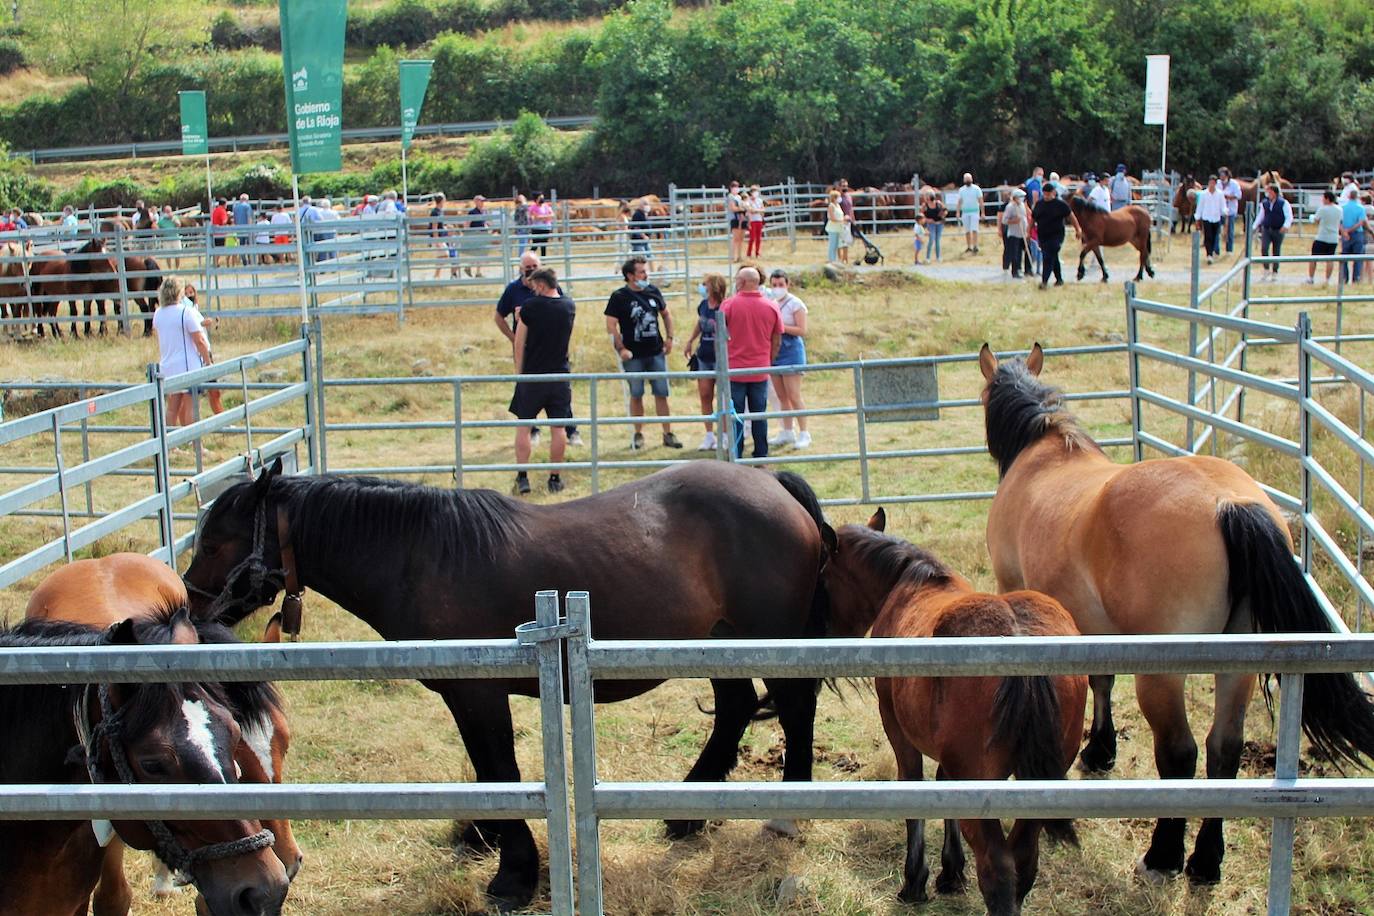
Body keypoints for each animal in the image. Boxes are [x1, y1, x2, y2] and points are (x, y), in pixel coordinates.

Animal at [185, 461, 835, 906]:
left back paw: (786, 813)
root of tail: (775, 485)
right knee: (735, 709)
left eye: (216, 540)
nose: (189, 609)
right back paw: (690, 812)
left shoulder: (479, 693)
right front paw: (484, 834)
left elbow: (497, 764)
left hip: (767, 638)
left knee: (794, 707)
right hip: (718, 640)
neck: (421, 555)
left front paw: (514, 873)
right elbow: (489, 769)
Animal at [818, 508, 1088, 916]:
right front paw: (951, 871)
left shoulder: (897, 728)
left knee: (997, 866)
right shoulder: (951, 759)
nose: (822, 629)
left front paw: (915, 880)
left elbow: (913, 787)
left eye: (824, 576)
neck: (913, 580)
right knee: (1023, 860)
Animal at [972, 341, 1374, 878]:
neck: (1044, 452)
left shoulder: (1020, 590)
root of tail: (1229, 504)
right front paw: (1100, 751)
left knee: (1179, 752)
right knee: (1224, 749)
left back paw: (1164, 853)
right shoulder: (1098, 628)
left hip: (1163, 674)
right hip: (1237, 666)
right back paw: (1206, 858)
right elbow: (1102, 682)